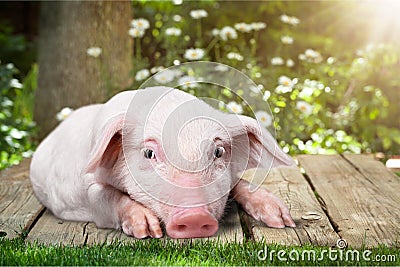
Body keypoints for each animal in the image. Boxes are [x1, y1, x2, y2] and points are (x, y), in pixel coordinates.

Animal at [29, 87, 296, 240]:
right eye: (149, 153)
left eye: (219, 151)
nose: (196, 215)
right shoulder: (80, 195)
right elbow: (102, 195)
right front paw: (148, 231)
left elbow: (237, 184)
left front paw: (283, 221)